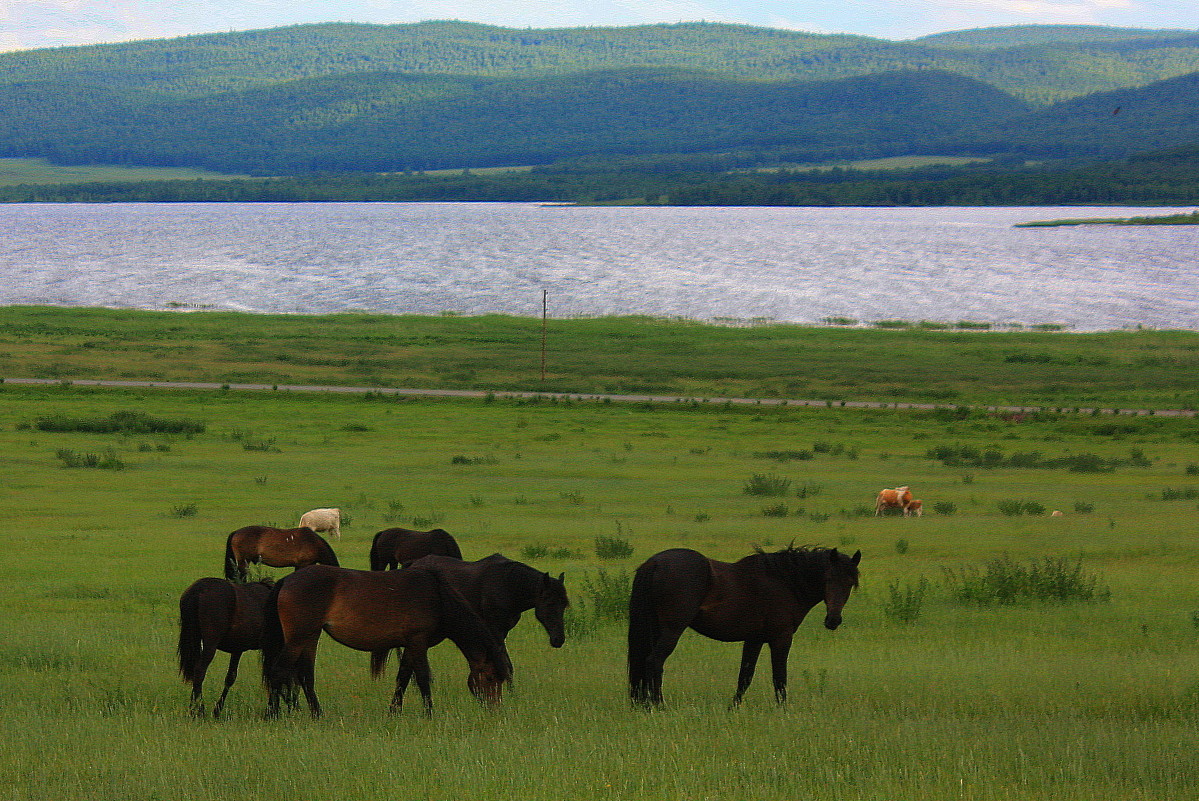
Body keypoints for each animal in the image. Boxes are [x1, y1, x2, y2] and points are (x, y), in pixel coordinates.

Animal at [176, 577, 273, 714]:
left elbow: (230, 677)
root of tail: (197, 590)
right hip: (210, 644)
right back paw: (199, 710)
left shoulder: (238, 649)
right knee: (199, 671)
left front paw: (218, 709)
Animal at [260, 563, 508, 719]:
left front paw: (394, 712)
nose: (494, 708)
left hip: (310, 637)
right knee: (278, 671)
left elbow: (403, 679)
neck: (438, 597)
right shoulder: (418, 642)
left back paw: (317, 714)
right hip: (297, 639)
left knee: (305, 676)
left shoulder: (410, 646)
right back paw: (272, 714)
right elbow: (423, 678)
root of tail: (287, 580)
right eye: (490, 677)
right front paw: (429, 714)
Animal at [374, 553, 570, 705]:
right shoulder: (495, 631)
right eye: (549, 603)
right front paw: (511, 694)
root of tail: (413, 564)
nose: (558, 640)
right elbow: (506, 664)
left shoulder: (503, 632)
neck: (507, 585)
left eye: (565, 605)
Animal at [628, 544, 863, 705]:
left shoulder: (754, 639)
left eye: (851, 583)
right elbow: (779, 678)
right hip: (672, 630)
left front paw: (733, 708)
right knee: (654, 662)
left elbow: (745, 677)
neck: (785, 582)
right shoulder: (781, 638)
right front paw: (783, 710)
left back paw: (643, 704)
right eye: (828, 579)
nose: (833, 620)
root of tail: (655, 563)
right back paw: (658, 705)